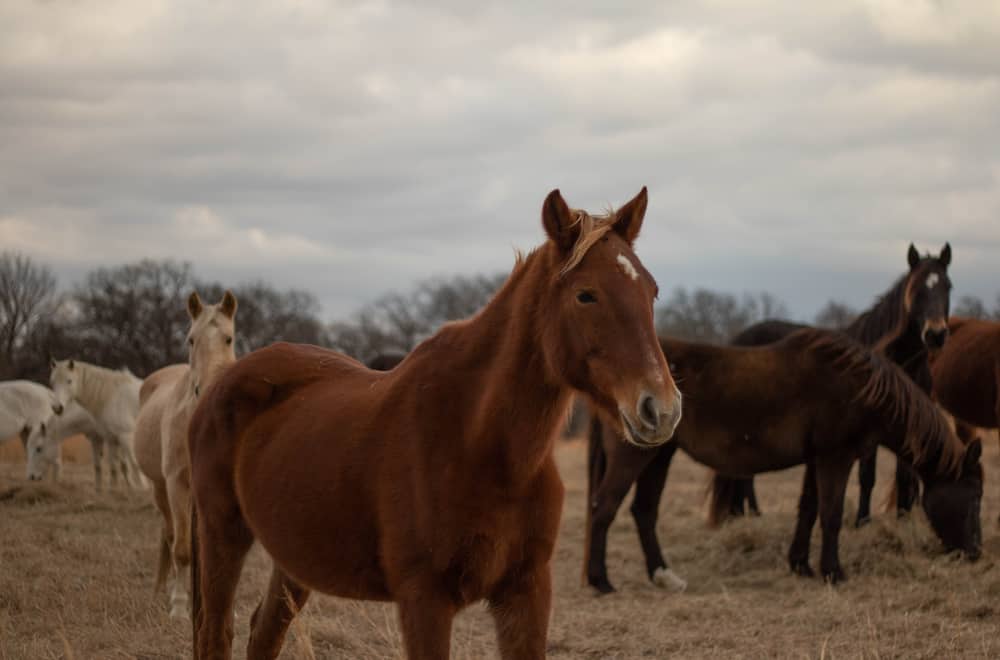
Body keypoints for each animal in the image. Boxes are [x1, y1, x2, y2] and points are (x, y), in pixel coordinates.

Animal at [49, 358, 145, 489]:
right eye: (52, 382)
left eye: (69, 381)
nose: (57, 408)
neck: (111, 398)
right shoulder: (111, 438)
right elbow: (115, 467)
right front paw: (115, 490)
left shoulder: (126, 436)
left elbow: (134, 464)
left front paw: (143, 488)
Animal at [133, 291, 237, 619]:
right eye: (191, 340)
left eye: (229, 338)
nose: (208, 389)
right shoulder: (176, 483)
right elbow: (181, 549)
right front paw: (179, 607)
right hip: (159, 488)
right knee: (168, 535)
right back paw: (162, 593)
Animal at [188, 188, 681, 660]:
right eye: (586, 294)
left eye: (653, 291)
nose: (662, 408)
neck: (481, 445)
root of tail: (219, 383)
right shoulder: (424, 600)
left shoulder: (526, 591)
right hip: (222, 535)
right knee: (216, 635)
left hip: (292, 558)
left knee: (263, 635)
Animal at [585, 328, 982, 593]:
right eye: (975, 496)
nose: (976, 552)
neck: (858, 387)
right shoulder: (835, 458)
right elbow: (831, 515)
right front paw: (833, 571)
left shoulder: (816, 460)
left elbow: (808, 510)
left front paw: (801, 564)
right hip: (635, 456)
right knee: (604, 507)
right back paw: (600, 580)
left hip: (659, 457)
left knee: (644, 512)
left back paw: (662, 575)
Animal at [712, 243, 952, 525]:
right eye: (916, 288)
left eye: (948, 286)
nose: (936, 334)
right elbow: (867, 476)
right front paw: (862, 522)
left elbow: (905, 477)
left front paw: (902, 520)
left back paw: (743, 514)